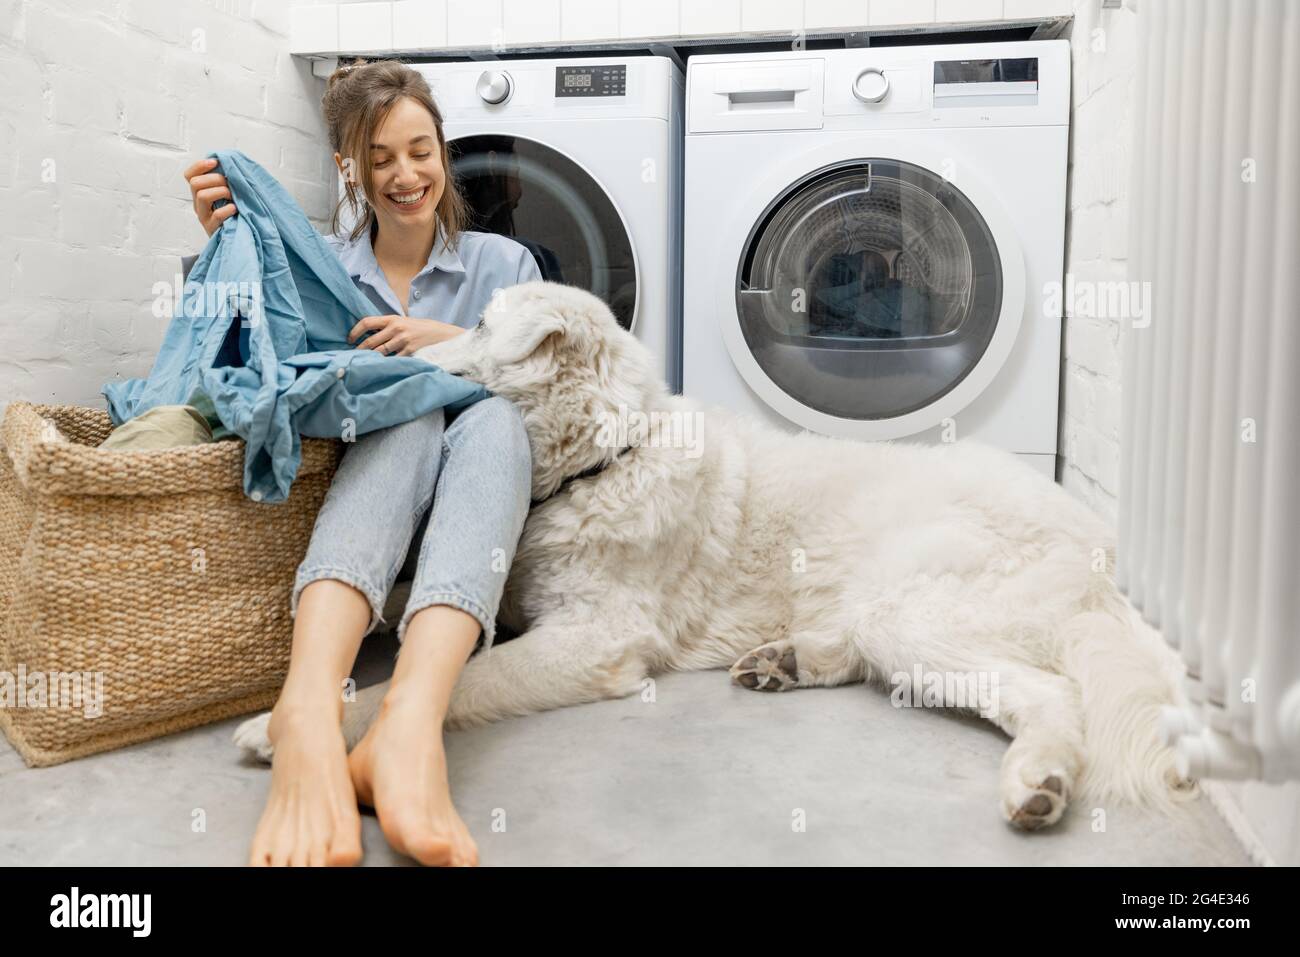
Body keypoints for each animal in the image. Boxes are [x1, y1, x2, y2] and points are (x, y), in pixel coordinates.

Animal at [239, 278, 1190, 832]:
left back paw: (1040, 782)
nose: (383, 347)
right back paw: (783, 662)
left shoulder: (593, 640)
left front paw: (285, 728)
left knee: (1049, 694)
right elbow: (408, 600)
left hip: (912, 607)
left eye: (478, 322)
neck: (604, 457)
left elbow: (455, 677)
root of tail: (1099, 550)